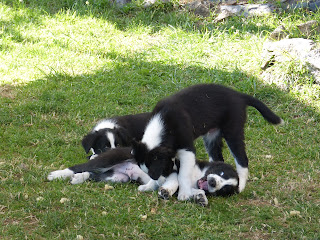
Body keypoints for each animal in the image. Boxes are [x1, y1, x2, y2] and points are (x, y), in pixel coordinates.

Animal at [132, 83, 282, 202]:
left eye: (162, 168)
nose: (163, 181)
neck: (163, 125)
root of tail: (239, 95)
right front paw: (149, 186)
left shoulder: (187, 150)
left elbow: (183, 174)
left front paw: (183, 194)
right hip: (212, 136)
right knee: (217, 158)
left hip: (233, 130)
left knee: (242, 159)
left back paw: (241, 185)